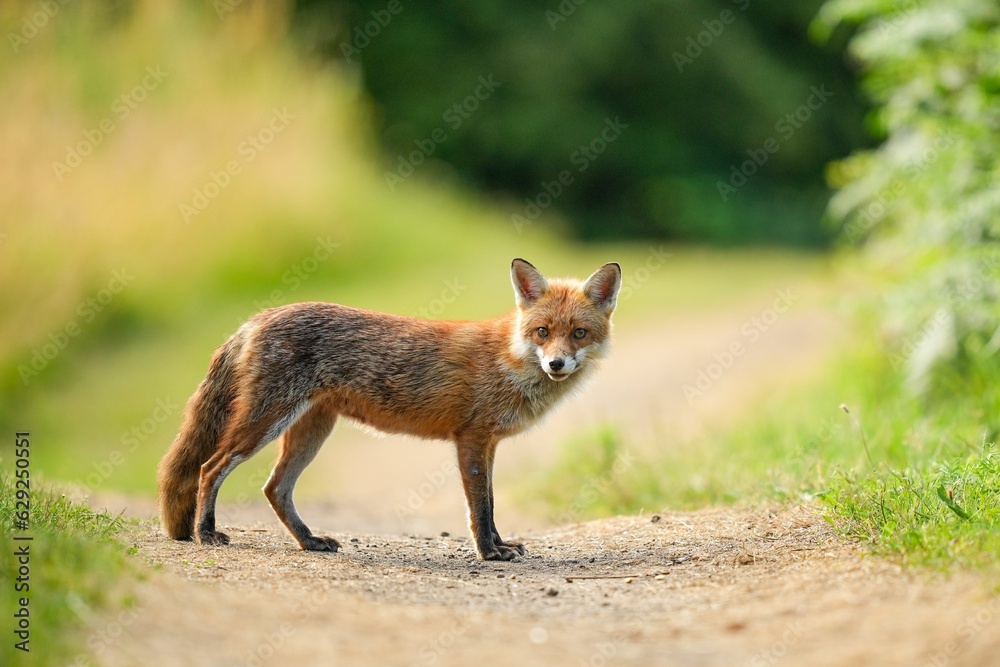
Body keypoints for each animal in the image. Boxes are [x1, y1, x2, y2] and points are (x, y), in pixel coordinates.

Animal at [157, 258, 620, 560]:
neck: (509, 360)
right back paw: (206, 532)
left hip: (310, 431)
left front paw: (500, 544)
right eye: (542, 331)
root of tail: (259, 316)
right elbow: (480, 508)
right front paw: (489, 553)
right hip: (265, 423)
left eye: (579, 333)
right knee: (209, 468)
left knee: (274, 488)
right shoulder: (471, 439)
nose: (556, 364)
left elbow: (489, 505)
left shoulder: (487, 444)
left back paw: (310, 542)